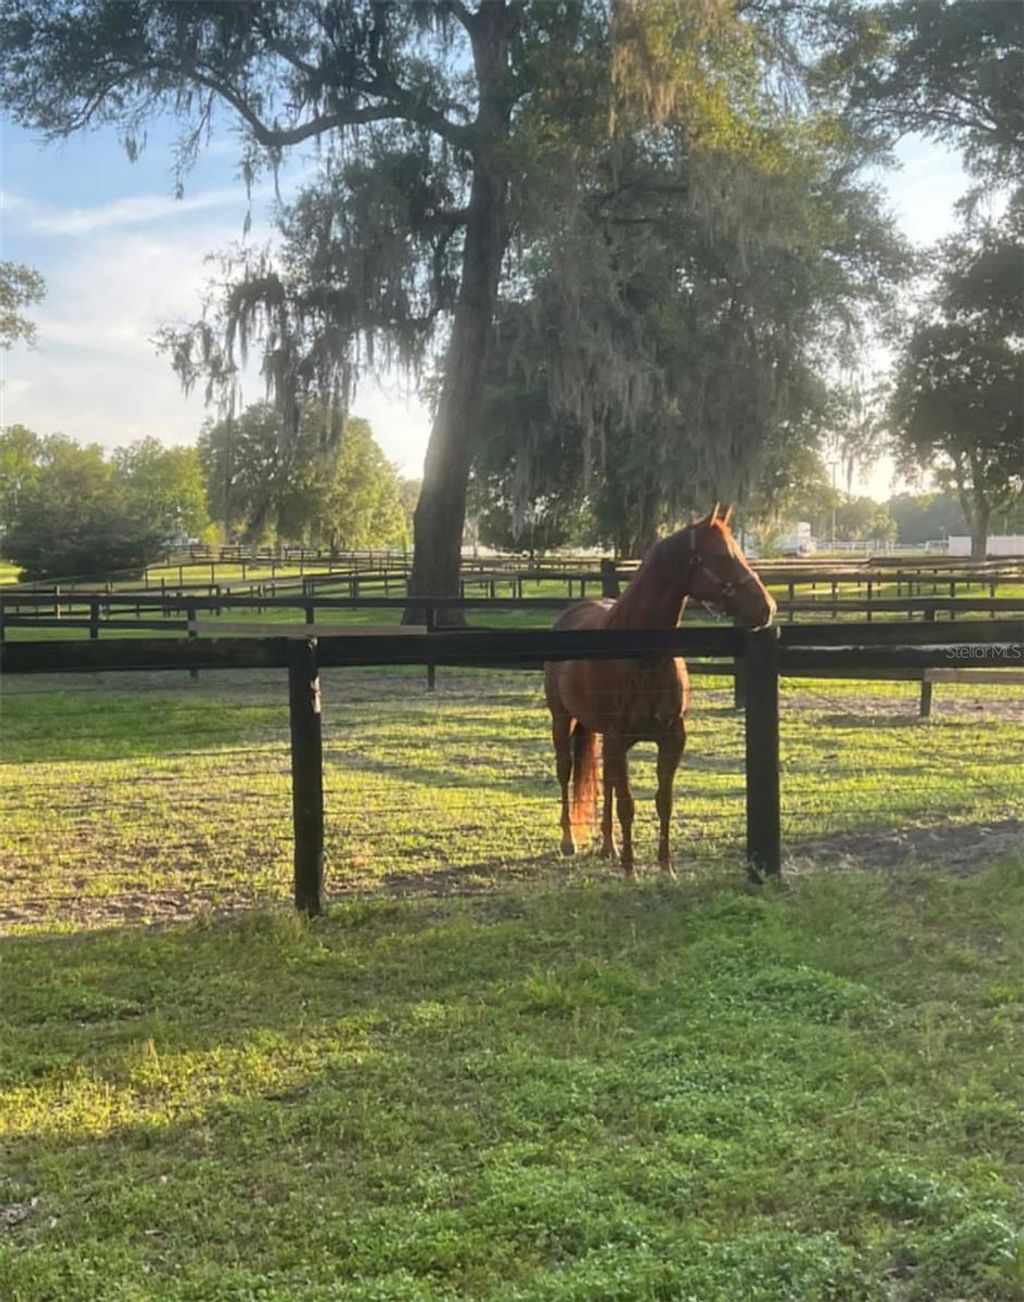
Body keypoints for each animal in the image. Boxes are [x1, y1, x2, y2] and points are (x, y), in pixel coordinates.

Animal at [543, 507, 776, 878]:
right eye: (722, 555)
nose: (766, 608)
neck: (643, 656)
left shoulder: (672, 738)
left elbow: (662, 801)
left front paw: (666, 867)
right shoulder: (619, 737)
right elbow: (627, 804)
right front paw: (631, 870)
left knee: (606, 780)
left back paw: (608, 846)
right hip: (563, 721)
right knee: (565, 771)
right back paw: (570, 842)